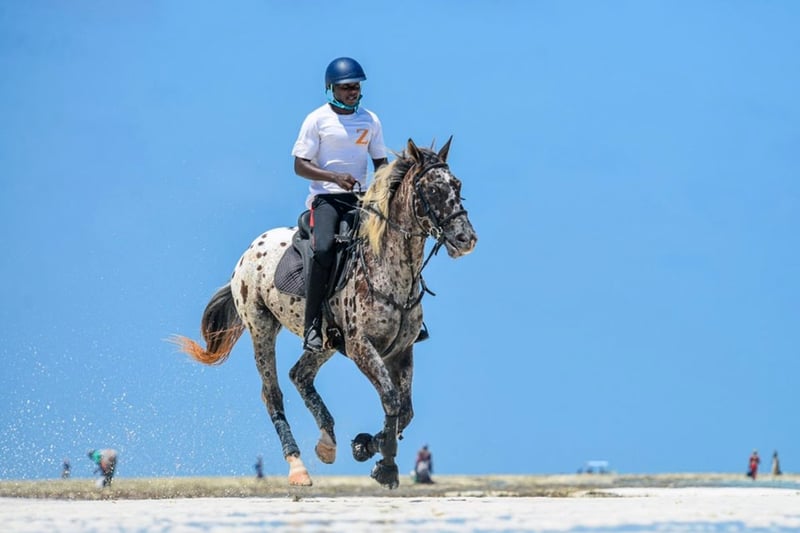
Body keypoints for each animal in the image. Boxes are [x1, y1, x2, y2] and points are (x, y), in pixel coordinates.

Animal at [173, 138, 477, 488]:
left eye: (457, 185)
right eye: (431, 190)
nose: (466, 239)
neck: (388, 270)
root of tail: (249, 250)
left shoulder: (401, 351)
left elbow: (405, 410)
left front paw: (365, 446)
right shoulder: (361, 347)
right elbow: (391, 399)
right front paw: (386, 466)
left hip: (324, 343)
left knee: (299, 375)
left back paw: (327, 442)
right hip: (261, 327)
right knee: (272, 394)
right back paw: (297, 467)